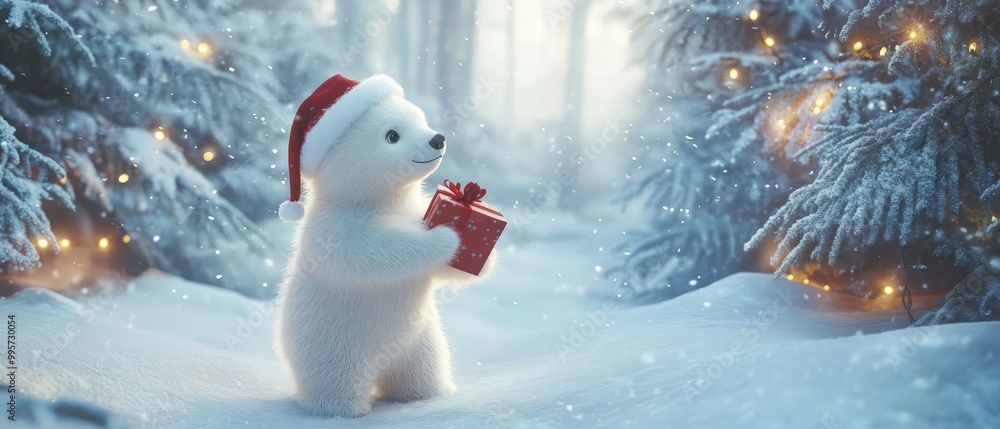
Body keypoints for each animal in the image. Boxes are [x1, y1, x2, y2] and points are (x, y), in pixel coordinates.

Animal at [273, 74, 495, 418]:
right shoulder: (331, 229)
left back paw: (431, 394)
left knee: (423, 368)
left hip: (420, 339)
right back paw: (344, 408)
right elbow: (365, 255)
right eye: (392, 135)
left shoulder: (413, 206)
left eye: (419, 118)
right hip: (330, 343)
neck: (380, 201)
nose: (437, 138)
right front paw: (446, 237)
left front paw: (484, 254)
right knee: (334, 377)